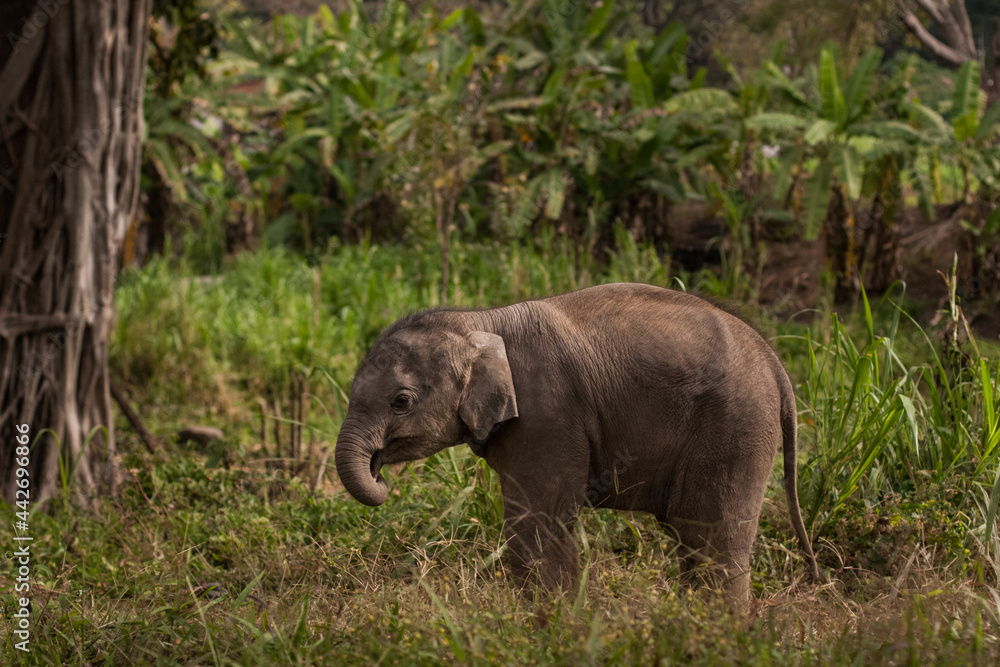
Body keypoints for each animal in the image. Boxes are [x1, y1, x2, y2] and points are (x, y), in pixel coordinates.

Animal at [335, 283, 818, 599]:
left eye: (401, 401)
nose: (379, 470)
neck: (480, 321)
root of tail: (775, 363)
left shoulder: (546, 415)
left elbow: (538, 524)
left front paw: (553, 627)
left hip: (737, 427)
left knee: (712, 539)